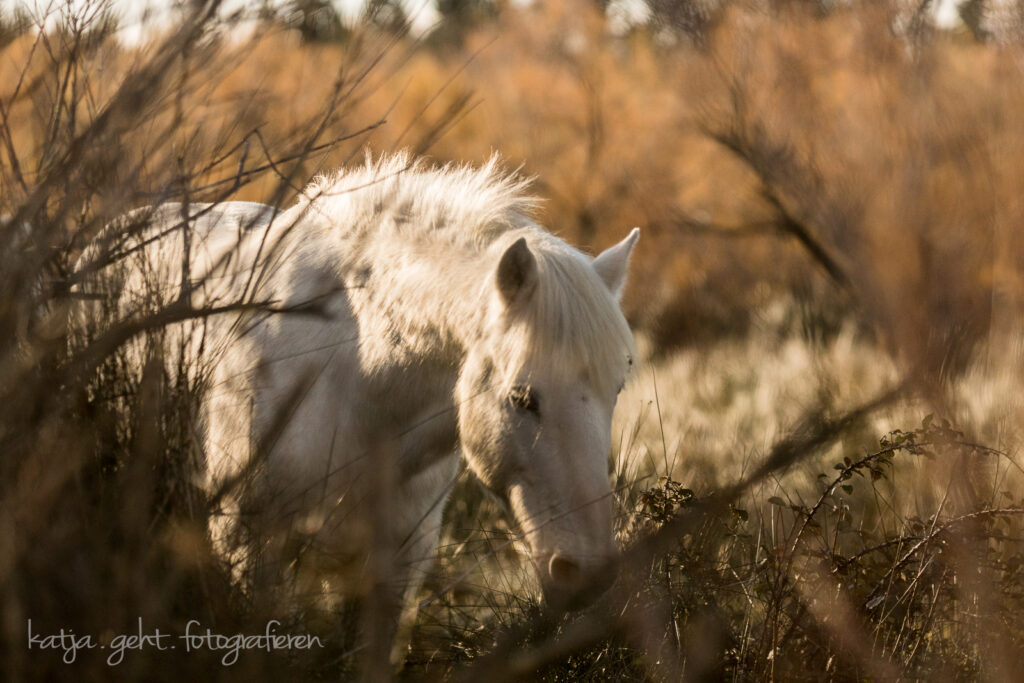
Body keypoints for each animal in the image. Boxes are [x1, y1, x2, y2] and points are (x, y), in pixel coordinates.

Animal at [77, 154, 638, 651]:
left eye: (616, 389)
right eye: (522, 397)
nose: (587, 573)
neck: (357, 383)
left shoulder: (395, 566)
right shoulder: (248, 548)